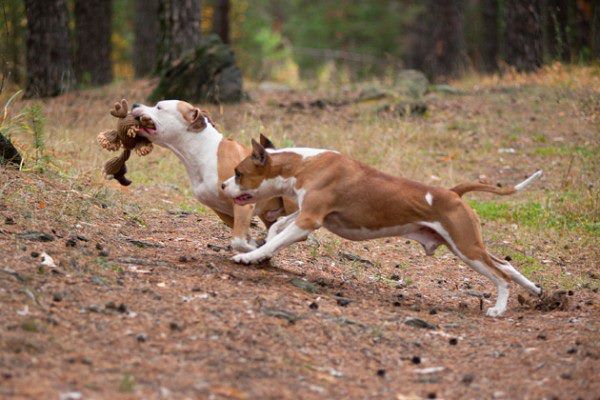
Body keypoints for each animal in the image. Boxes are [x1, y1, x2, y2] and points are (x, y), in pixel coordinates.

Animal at [132, 100, 296, 250]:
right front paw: (256, 247)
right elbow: (242, 236)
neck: (204, 150)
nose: (134, 104)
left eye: (158, 107)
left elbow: (238, 241)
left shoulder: (243, 205)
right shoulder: (222, 211)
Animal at [224, 139, 544, 318]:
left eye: (239, 173)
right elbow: (277, 228)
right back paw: (535, 289)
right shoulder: (306, 215)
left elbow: (275, 238)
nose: (224, 185)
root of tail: (453, 193)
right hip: (467, 246)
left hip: (467, 249)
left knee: (502, 276)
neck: (304, 164)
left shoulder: (309, 219)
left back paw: (499, 309)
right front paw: (263, 252)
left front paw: (249, 257)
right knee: (506, 265)